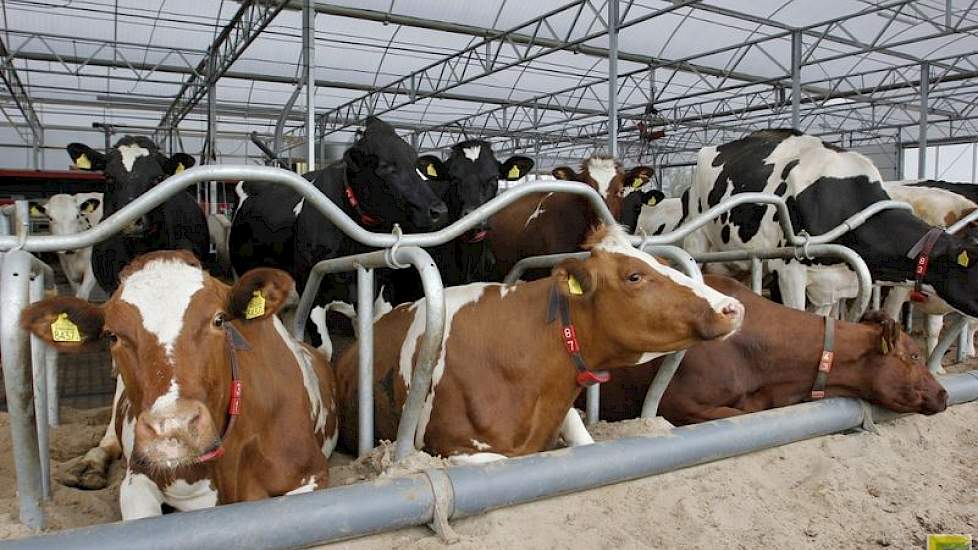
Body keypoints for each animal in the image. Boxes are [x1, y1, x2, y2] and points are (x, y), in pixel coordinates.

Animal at [21, 252, 338, 520]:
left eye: (219, 320)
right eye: (112, 335)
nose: (173, 427)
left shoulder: (312, 475)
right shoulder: (138, 478)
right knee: (108, 439)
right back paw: (89, 467)